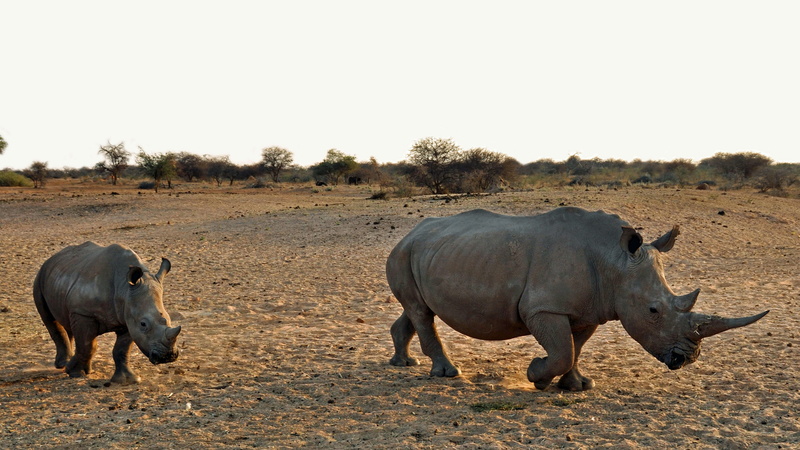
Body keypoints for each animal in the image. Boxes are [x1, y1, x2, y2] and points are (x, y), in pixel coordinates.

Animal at [33, 242, 181, 384]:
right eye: (143, 324)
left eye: (168, 319)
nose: (168, 356)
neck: (124, 288)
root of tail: (52, 258)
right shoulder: (83, 313)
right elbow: (87, 345)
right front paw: (74, 373)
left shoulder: (128, 317)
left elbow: (121, 349)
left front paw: (127, 380)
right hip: (40, 277)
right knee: (50, 319)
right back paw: (63, 365)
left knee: (65, 319)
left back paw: (74, 365)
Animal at [386, 207, 768, 391]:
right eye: (653, 310)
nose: (686, 359)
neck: (614, 260)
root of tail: (411, 232)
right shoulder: (544, 308)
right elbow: (562, 350)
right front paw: (536, 376)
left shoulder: (590, 310)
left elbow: (575, 348)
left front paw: (578, 386)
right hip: (404, 252)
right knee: (421, 311)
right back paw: (447, 374)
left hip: (427, 252)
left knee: (417, 309)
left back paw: (403, 364)